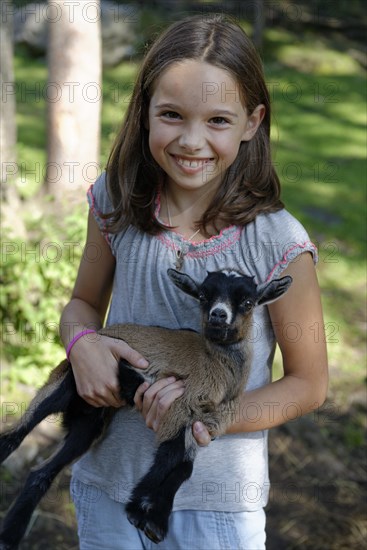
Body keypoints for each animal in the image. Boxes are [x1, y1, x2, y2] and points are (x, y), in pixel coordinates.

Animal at [0, 270, 294, 548]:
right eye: (202, 296)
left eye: (248, 302)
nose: (218, 315)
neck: (216, 367)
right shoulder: (178, 405)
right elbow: (168, 458)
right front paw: (136, 508)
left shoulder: (203, 423)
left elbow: (183, 468)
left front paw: (155, 521)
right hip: (69, 381)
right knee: (17, 431)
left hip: (89, 422)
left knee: (41, 472)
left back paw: (10, 535)